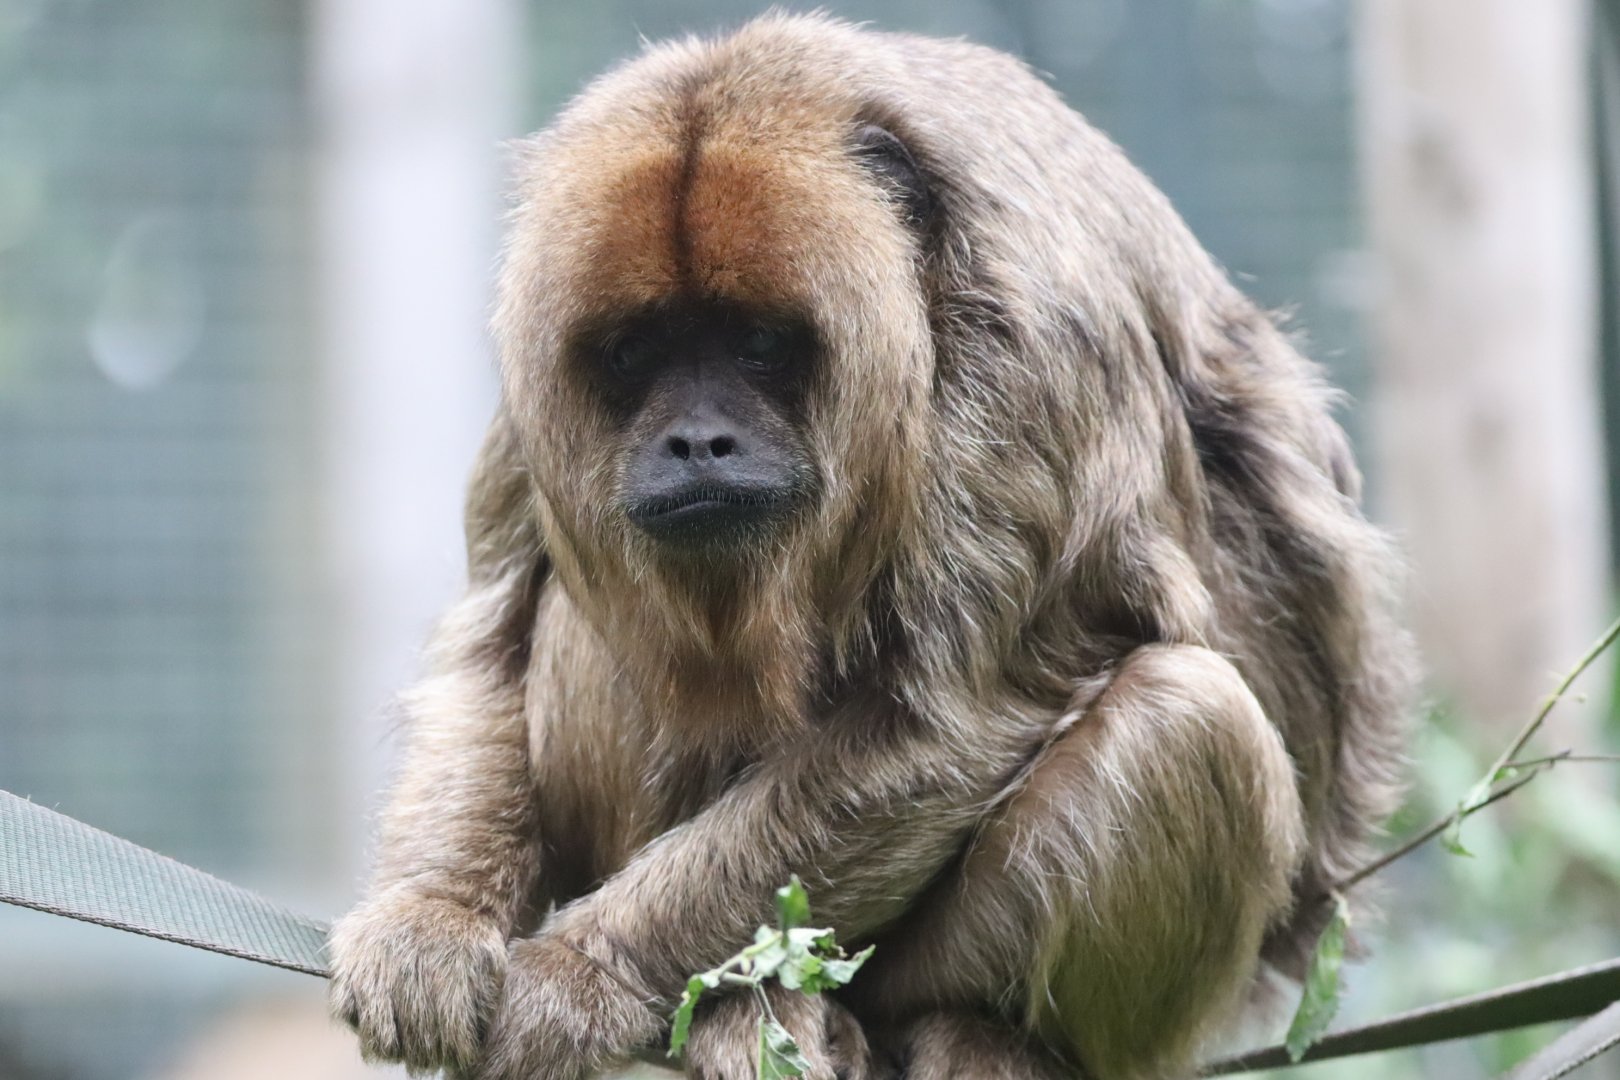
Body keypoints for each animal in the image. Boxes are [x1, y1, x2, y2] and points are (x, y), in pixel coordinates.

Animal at [327, 13, 1412, 1080]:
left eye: (759, 343)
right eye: (637, 352)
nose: (696, 441)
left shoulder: (1029, 352)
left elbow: (937, 729)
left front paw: (580, 978)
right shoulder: (529, 389)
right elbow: (490, 634)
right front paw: (431, 922)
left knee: (1190, 720)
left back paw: (969, 1031)